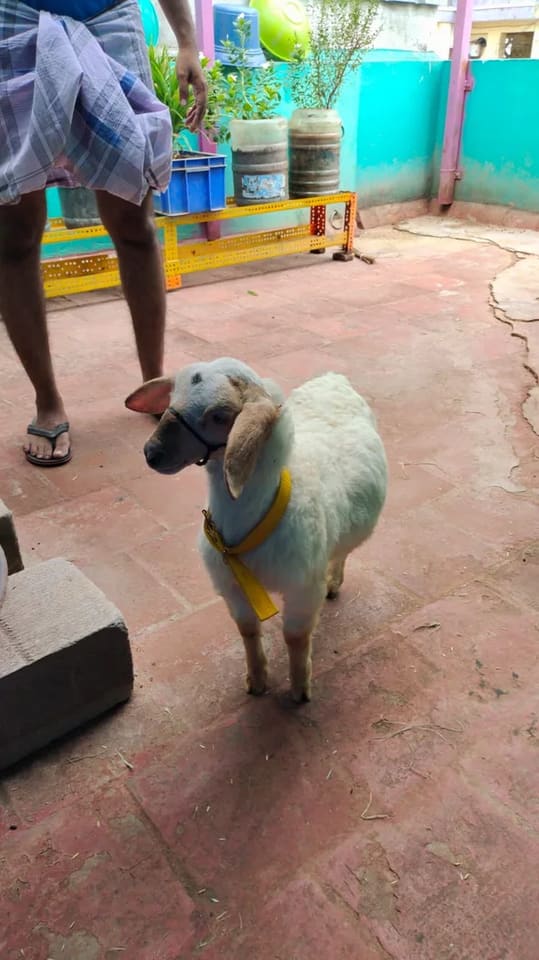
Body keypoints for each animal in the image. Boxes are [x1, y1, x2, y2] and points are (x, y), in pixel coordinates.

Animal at [126, 357, 387, 703]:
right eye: (171, 399)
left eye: (219, 416)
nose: (151, 453)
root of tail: (334, 379)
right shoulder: (232, 587)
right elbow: (248, 631)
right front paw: (257, 680)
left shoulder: (303, 589)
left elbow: (295, 637)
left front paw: (300, 688)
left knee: (341, 552)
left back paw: (334, 582)